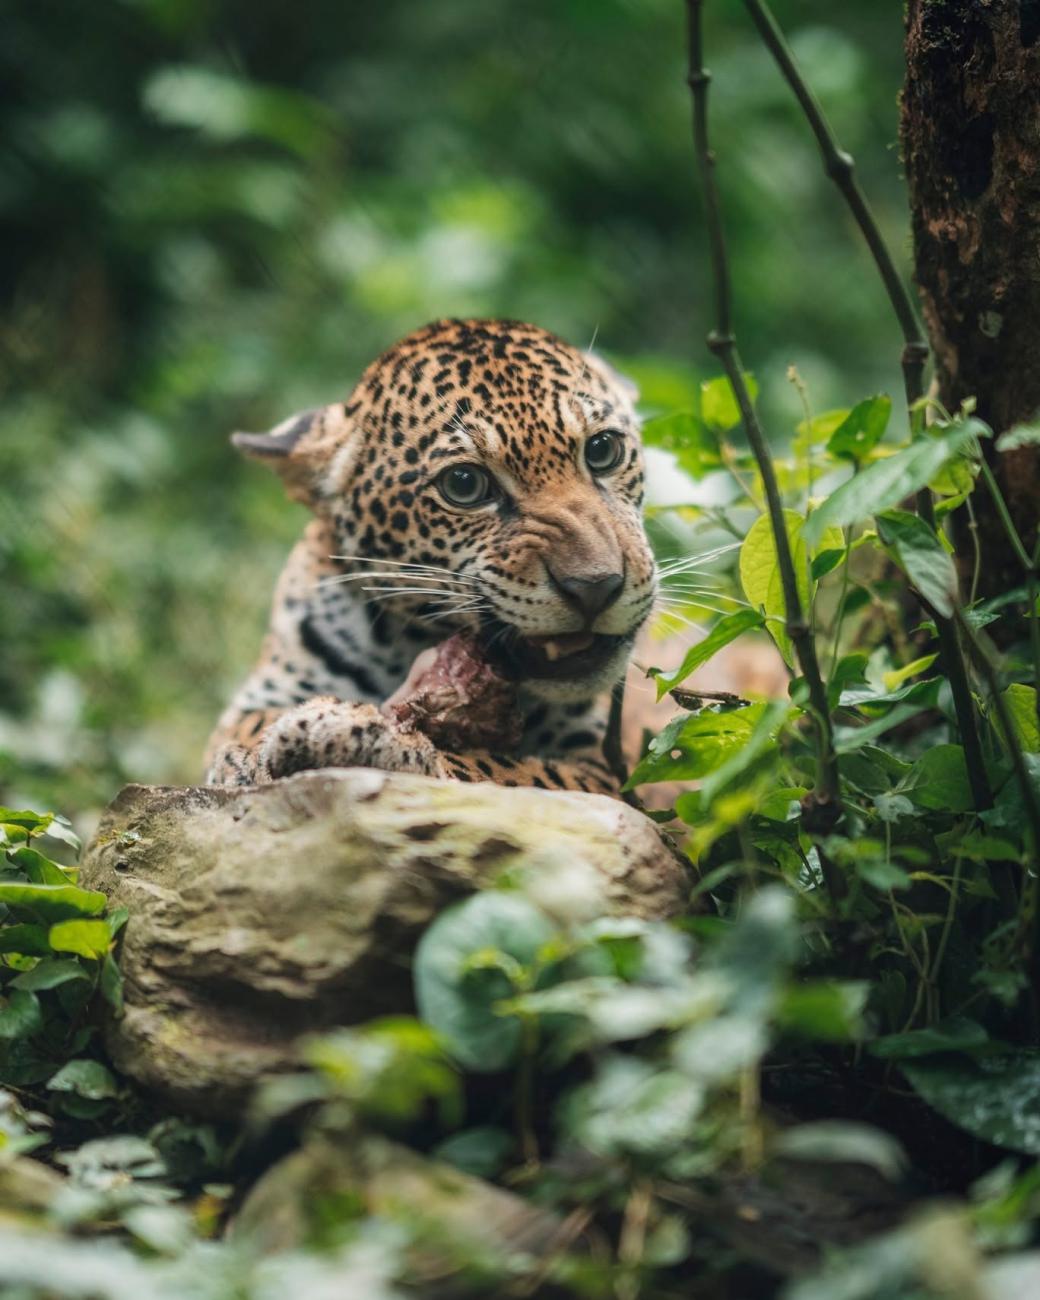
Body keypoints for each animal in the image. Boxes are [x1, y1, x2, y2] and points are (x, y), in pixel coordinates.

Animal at [204, 318, 658, 794]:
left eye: (602, 450)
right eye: (464, 484)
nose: (596, 588)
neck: (407, 642)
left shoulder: (604, 771)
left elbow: (504, 771)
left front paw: (364, 737)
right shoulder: (257, 700)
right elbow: (250, 727)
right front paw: (247, 757)